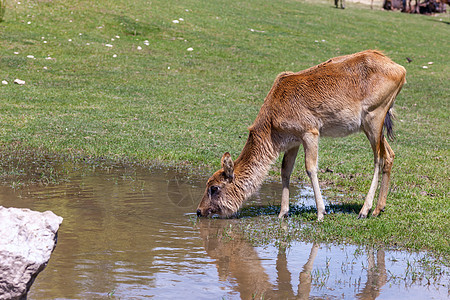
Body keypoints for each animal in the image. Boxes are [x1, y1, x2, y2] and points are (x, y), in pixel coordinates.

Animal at [195, 49, 406, 220]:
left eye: (214, 187)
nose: (199, 210)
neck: (272, 127)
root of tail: (401, 70)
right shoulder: (293, 141)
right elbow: (285, 169)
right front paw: (283, 213)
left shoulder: (309, 131)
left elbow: (310, 168)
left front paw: (321, 213)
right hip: (374, 124)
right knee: (390, 154)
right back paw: (378, 209)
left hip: (374, 116)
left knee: (379, 158)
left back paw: (364, 210)